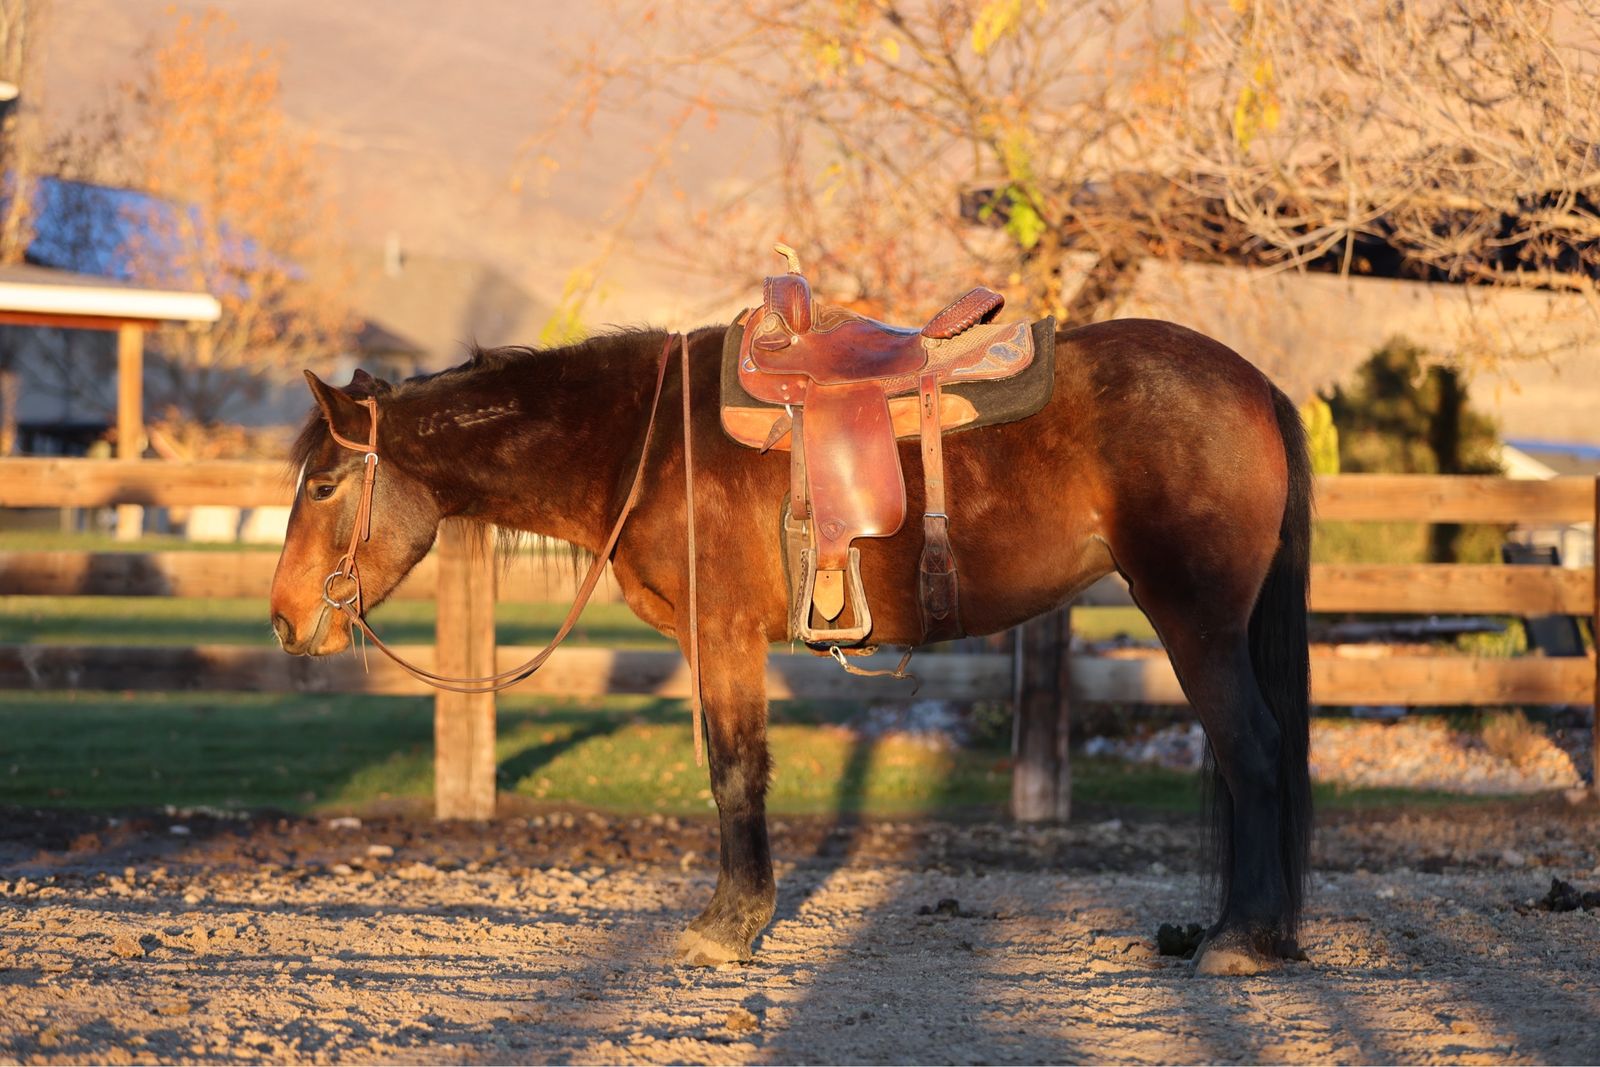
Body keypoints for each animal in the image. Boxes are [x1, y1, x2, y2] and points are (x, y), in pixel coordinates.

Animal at [268, 317, 1312, 976]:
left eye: (322, 484)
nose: (284, 619)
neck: (642, 445)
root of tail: (1256, 384)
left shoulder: (723, 633)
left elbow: (736, 771)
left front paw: (728, 925)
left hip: (1196, 620)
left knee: (1255, 754)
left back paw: (1244, 941)